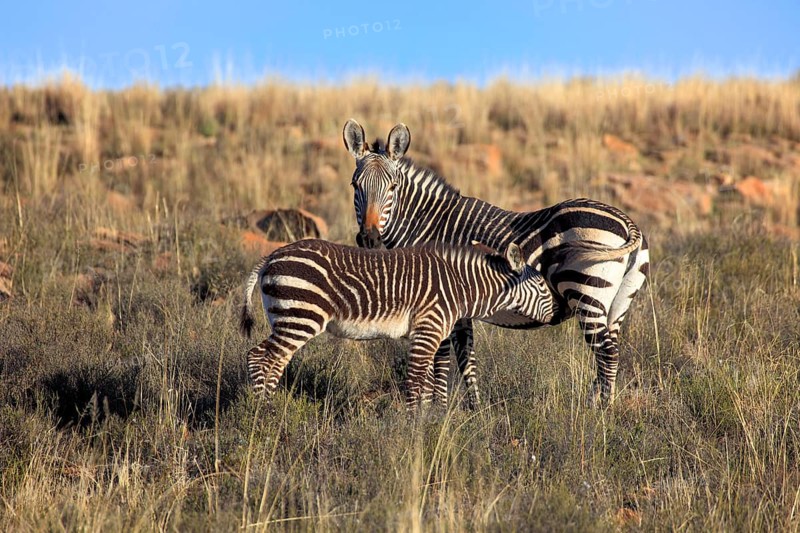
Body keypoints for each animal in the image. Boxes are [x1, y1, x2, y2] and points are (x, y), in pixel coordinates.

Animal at [238, 239, 556, 410]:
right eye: (542, 286)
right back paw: (264, 413)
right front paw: (416, 430)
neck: (459, 286)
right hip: (300, 317)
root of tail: (272, 256)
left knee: (271, 361)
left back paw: (267, 407)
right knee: (259, 357)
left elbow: (426, 384)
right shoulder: (428, 330)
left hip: (285, 318)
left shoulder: (424, 334)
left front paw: (427, 420)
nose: (556, 316)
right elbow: (416, 382)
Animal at [343, 118, 650, 407]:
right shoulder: (456, 307)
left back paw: (603, 414)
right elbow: (466, 360)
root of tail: (628, 223)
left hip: (586, 291)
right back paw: (599, 405)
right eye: (355, 186)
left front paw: (434, 409)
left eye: (393, 187)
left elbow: (441, 361)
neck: (428, 223)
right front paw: (472, 409)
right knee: (610, 351)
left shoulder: (438, 301)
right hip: (618, 303)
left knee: (606, 353)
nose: (369, 238)